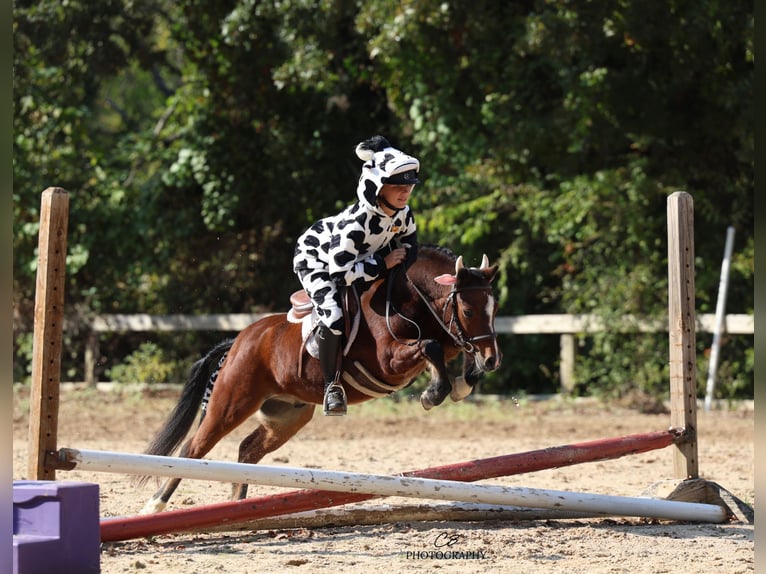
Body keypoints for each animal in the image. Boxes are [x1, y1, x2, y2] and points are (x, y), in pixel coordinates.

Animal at [137, 245, 501, 514]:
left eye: (494, 309)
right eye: (468, 311)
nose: (493, 360)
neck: (405, 297)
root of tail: (238, 342)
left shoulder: (445, 337)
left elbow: (449, 346)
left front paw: (462, 383)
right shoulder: (388, 361)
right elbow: (431, 346)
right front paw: (433, 394)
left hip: (287, 417)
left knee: (248, 450)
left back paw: (237, 506)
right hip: (231, 404)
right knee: (193, 448)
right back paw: (154, 506)